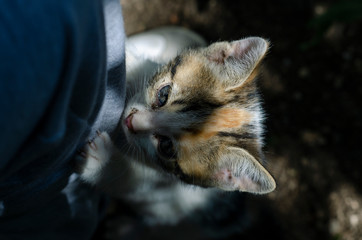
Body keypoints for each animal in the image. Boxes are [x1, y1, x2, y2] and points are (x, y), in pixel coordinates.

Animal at [76, 36, 274, 224]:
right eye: (163, 94)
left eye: (166, 147)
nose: (130, 121)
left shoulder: (156, 184)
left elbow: (126, 179)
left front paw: (101, 160)